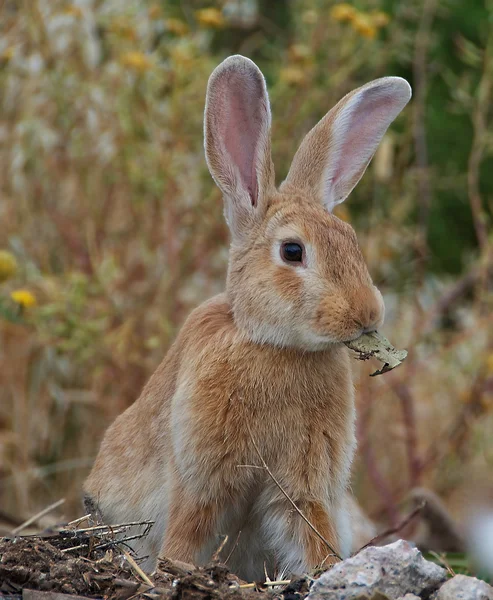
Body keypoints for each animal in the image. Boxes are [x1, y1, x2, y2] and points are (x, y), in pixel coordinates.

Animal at [82, 54, 410, 580]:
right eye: (293, 251)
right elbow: (189, 530)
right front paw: (174, 571)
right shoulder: (201, 478)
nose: (367, 313)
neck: (273, 345)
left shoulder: (303, 485)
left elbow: (310, 529)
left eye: (351, 240)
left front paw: (326, 572)